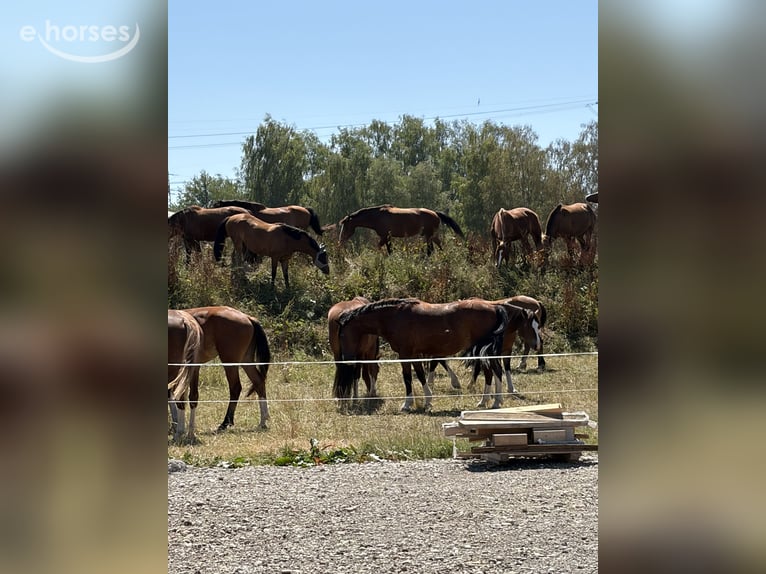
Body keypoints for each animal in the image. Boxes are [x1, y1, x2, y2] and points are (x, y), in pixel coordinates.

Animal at [168, 309, 204, 443]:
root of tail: (186, 320)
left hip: (176, 370)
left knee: (179, 398)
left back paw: (179, 433)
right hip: (194, 369)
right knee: (193, 397)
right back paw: (190, 434)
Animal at [336, 298, 540, 411]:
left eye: (342, 334)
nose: (347, 358)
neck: (395, 316)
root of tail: (495, 308)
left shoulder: (405, 354)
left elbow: (408, 378)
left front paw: (407, 404)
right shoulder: (414, 355)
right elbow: (420, 376)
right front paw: (427, 401)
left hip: (484, 351)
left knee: (495, 371)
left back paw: (495, 402)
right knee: (493, 372)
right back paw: (487, 401)